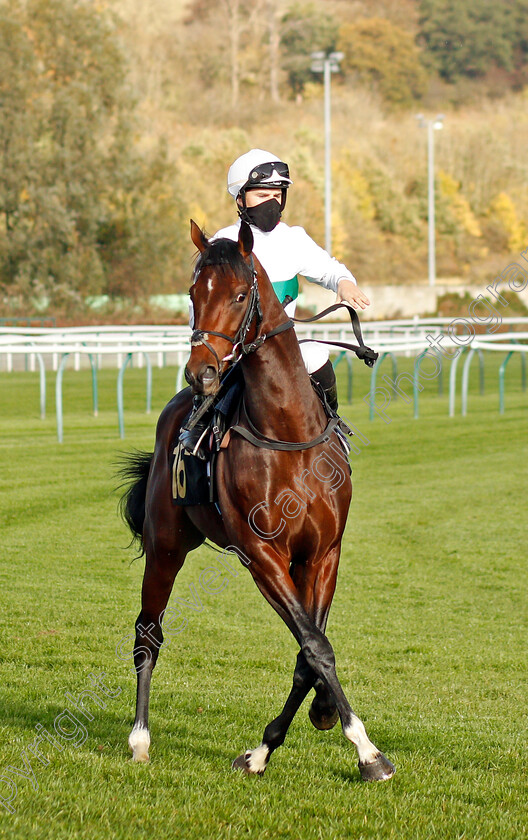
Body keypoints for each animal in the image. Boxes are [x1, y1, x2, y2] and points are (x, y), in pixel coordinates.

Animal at [118, 220, 392, 784]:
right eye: (193, 294)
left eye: (241, 295)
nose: (200, 372)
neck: (288, 435)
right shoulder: (262, 555)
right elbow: (316, 646)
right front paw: (368, 751)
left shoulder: (322, 553)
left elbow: (309, 651)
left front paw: (288, 735)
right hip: (165, 546)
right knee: (148, 633)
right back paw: (139, 738)